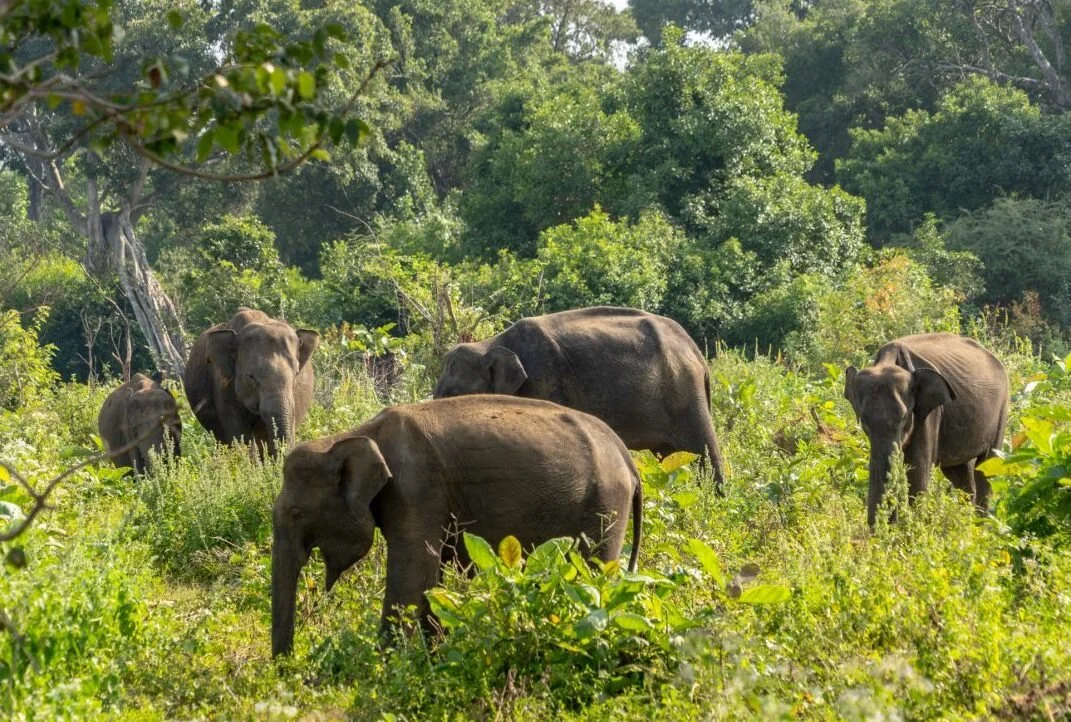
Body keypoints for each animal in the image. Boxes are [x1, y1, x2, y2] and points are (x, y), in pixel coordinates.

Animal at [271, 394, 643, 656]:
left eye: (296, 514)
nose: (288, 667)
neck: (356, 434)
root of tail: (627, 457)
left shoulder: (417, 490)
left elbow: (412, 574)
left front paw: (380, 668)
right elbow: (429, 582)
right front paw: (432, 660)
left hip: (605, 505)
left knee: (593, 571)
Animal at [432, 306, 726, 491]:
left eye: (452, 394)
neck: (491, 343)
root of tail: (697, 352)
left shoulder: (546, 379)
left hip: (686, 393)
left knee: (704, 452)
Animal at [844, 333, 1009, 528]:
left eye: (903, 417)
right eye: (864, 421)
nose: (881, 527)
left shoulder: (929, 413)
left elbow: (918, 470)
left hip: (1002, 410)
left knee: (986, 467)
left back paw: (979, 526)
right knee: (959, 472)